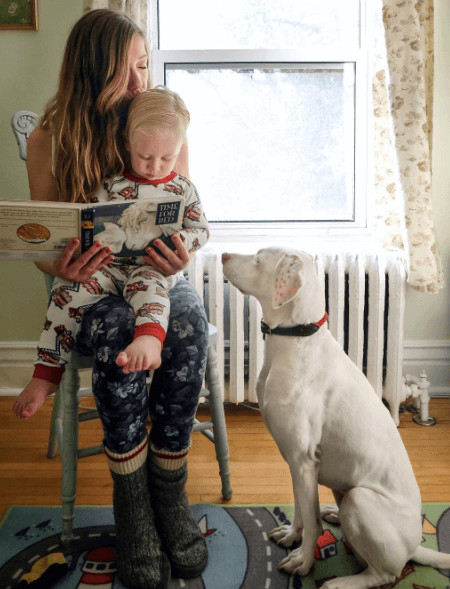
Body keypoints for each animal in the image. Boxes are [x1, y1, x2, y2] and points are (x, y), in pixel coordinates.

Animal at [222, 247, 450, 588]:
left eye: (259, 258)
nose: (222, 255)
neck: (296, 339)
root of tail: (414, 546)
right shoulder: (295, 462)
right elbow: (302, 511)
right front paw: (291, 535)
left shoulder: (303, 461)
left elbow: (311, 524)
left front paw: (303, 562)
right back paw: (332, 512)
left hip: (360, 500)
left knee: (384, 574)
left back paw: (339, 581)